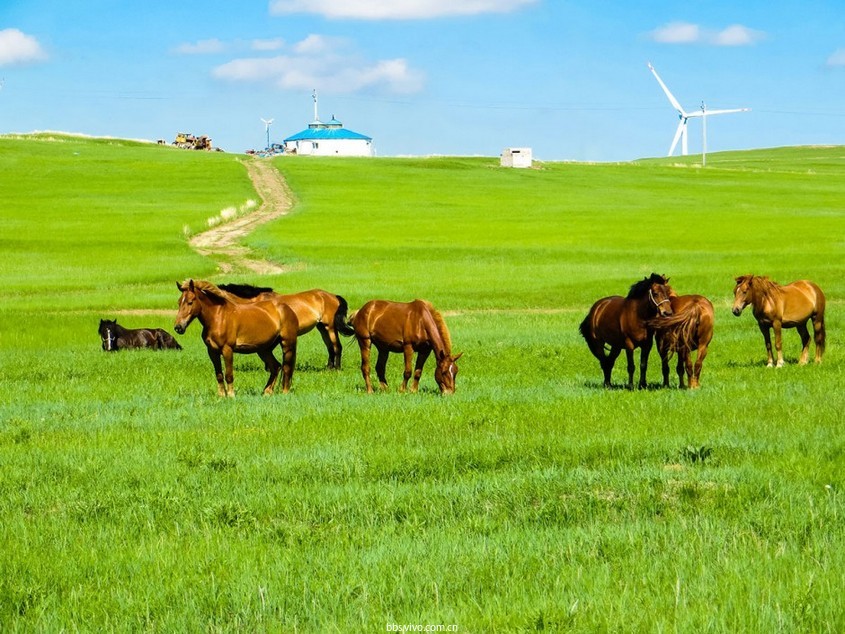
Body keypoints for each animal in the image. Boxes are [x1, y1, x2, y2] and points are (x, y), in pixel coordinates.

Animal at [219, 282, 354, 366]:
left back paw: (337, 368)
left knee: (337, 347)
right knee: (330, 347)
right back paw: (329, 368)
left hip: (330, 327)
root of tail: (333, 296)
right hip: (322, 328)